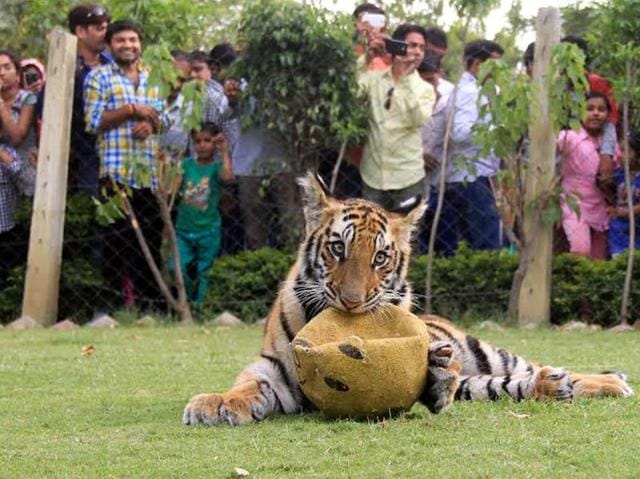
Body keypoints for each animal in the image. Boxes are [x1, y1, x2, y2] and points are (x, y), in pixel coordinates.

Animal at [183, 172, 633, 426]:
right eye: (338, 249)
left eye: (380, 258)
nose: (351, 302)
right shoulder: (275, 369)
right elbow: (247, 385)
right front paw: (214, 405)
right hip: (482, 382)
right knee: (509, 386)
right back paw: (552, 388)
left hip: (488, 352)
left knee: (537, 368)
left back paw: (609, 381)